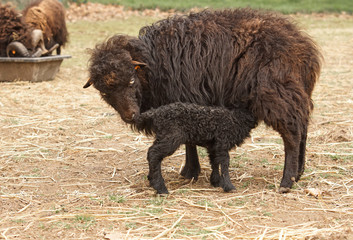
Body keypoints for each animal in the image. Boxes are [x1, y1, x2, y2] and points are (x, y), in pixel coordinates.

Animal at [85, 8, 322, 193]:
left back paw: (286, 181)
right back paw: (299, 172)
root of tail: (304, 47)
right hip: (297, 92)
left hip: (276, 92)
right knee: (303, 128)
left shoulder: (186, 98)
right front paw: (194, 173)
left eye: (131, 81)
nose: (130, 116)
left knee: (292, 134)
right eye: (104, 92)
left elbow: (189, 141)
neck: (152, 64)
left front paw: (190, 171)